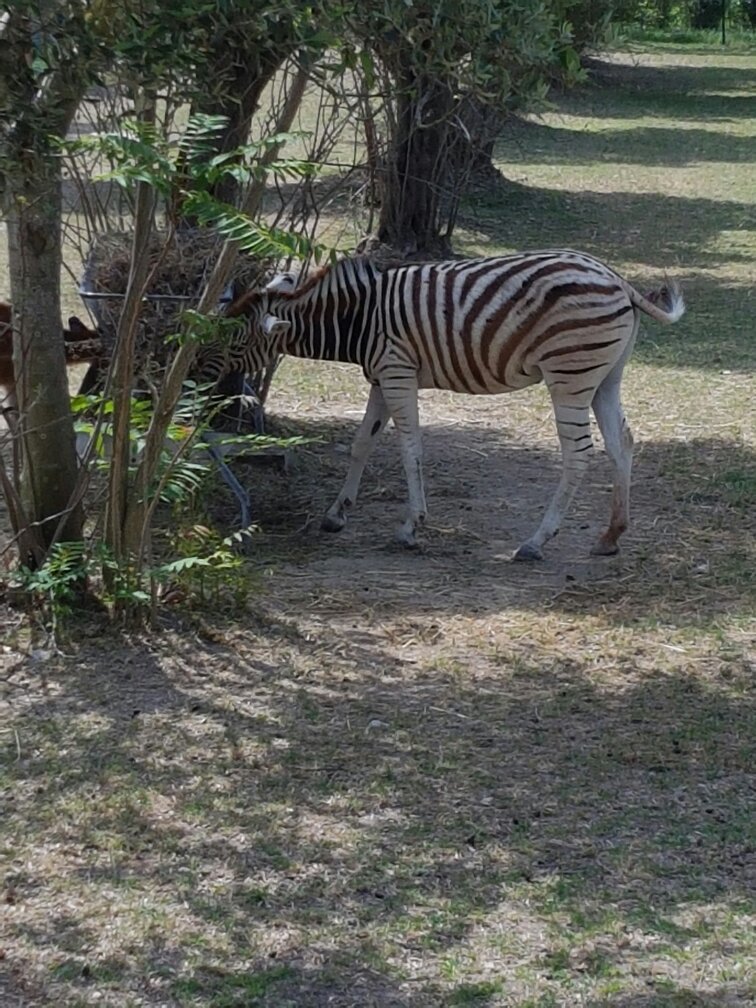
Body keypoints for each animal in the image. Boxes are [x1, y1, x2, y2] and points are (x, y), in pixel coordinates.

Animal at [199, 246, 685, 556]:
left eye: (232, 344)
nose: (195, 376)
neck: (357, 319)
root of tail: (616, 279)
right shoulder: (380, 378)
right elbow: (361, 443)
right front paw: (336, 514)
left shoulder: (397, 372)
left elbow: (409, 448)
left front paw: (412, 527)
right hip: (605, 377)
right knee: (622, 442)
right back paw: (611, 536)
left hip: (569, 374)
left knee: (578, 453)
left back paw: (536, 542)